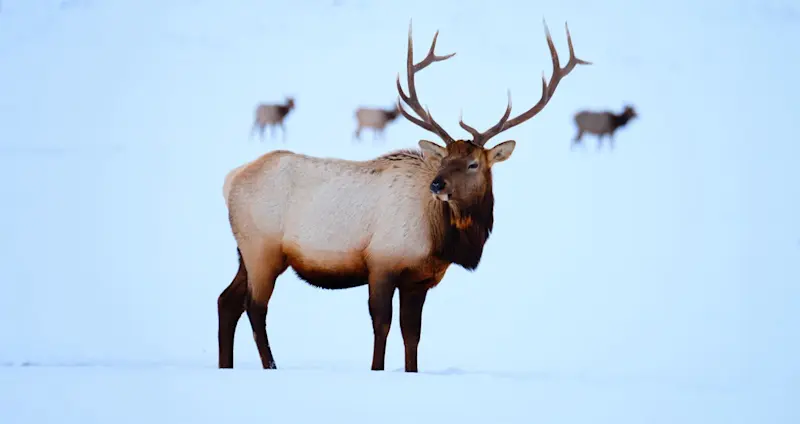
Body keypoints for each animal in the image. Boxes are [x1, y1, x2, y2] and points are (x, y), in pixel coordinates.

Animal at [217, 20, 590, 373]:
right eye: (444, 159)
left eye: (472, 164)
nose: (437, 186)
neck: (443, 238)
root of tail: (230, 179)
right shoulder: (381, 262)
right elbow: (381, 325)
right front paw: (377, 369)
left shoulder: (420, 279)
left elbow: (412, 334)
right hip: (262, 249)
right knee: (255, 308)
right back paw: (270, 367)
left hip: (244, 251)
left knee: (227, 301)